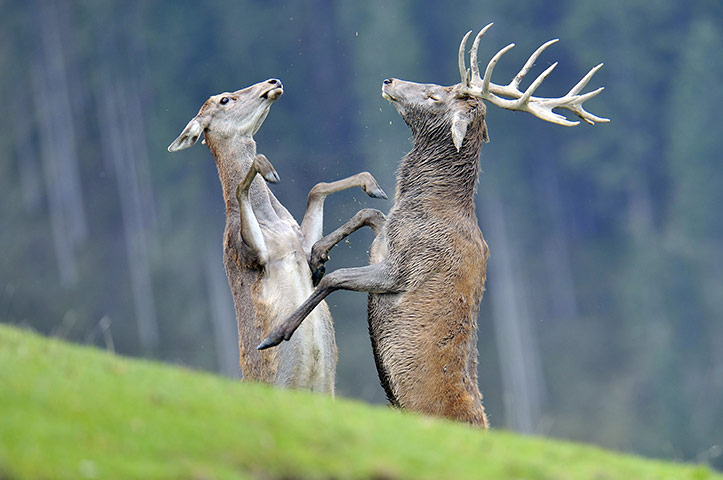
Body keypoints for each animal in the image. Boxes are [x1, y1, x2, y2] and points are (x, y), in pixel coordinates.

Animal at [167, 78, 387, 394]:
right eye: (225, 100)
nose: (273, 81)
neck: (273, 222)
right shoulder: (246, 250)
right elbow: (242, 187)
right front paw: (270, 171)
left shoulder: (297, 242)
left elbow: (316, 190)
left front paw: (372, 188)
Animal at [258, 24, 608, 426]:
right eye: (440, 84)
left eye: (434, 95)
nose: (389, 79)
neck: (429, 206)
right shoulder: (386, 243)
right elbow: (369, 213)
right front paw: (317, 255)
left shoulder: (403, 270)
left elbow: (337, 278)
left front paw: (276, 334)